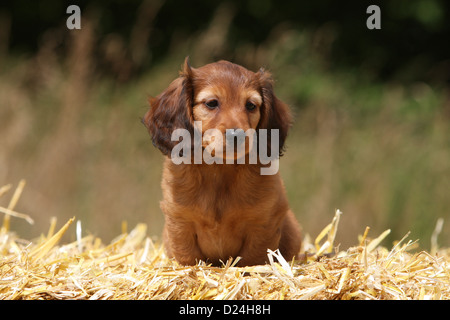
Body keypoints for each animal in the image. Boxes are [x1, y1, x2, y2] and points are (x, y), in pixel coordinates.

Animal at [142, 58, 300, 268]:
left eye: (251, 105)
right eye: (211, 103)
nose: (237, 136)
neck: (219, 170)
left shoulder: (263, 223)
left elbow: (252, 260)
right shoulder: (180, 223)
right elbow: (188, 258)